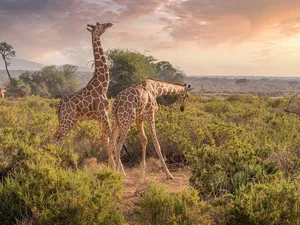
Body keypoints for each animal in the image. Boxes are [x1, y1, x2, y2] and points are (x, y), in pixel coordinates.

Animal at [53, 22, 115, 167]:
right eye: (99, 25)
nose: (109, 24)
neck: (103, 85)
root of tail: (60, 104)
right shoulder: (103, 113)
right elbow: (110, 137)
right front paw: (117, 168)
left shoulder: (99, 117)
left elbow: (106, 140)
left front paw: (112, 166)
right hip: (68, 121)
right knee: (58, 140)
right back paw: (53, 163)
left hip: (65, 120)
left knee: (55, 137)